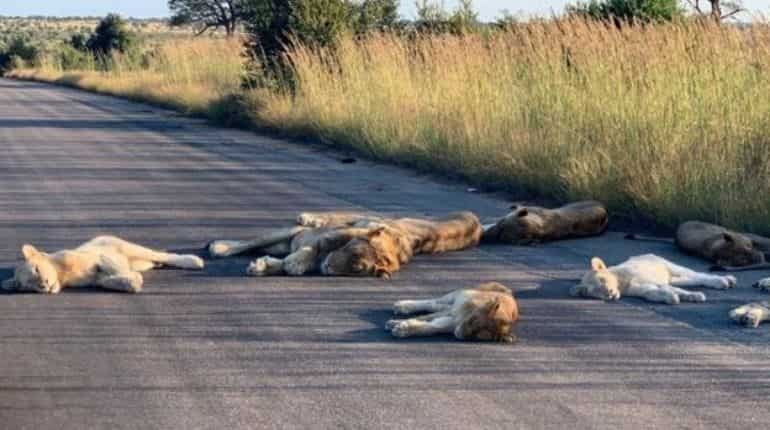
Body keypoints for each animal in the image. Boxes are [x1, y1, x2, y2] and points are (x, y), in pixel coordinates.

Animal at [1, 236, 204, 294]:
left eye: (36, 269)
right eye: (30, 285)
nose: (43, 285)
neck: (62, 276)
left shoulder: (98, 256)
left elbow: (109, 266)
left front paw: (132, 279)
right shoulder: (94, 279)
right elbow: (106, 281)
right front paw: (130, 282)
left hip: (130, 248)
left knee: (162, 254)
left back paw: (194, 261)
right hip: (141, 262)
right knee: (153, 261)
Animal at [386, 282, 519, 343]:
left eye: (476, 336)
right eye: (474, 322)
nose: (460, 334)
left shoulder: (451, 322)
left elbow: (429, 327)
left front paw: (402, 328)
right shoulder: (453, 314)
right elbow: (424, 318)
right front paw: (395, 324)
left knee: (436, 305)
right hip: (456, 296)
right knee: (432, 302)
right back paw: (402, 305)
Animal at [570, 254, 736, 304]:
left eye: (603, 280)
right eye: (597, 291)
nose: (609, 293)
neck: (622, 285)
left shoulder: (651, 281)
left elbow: (675, 290)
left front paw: (695, 296)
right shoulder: (645, 289)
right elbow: (654, 293)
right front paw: (671, 298)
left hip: (670, 266)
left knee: (698, 275)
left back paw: (724, 281)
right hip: (673, 277)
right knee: (691, 280)